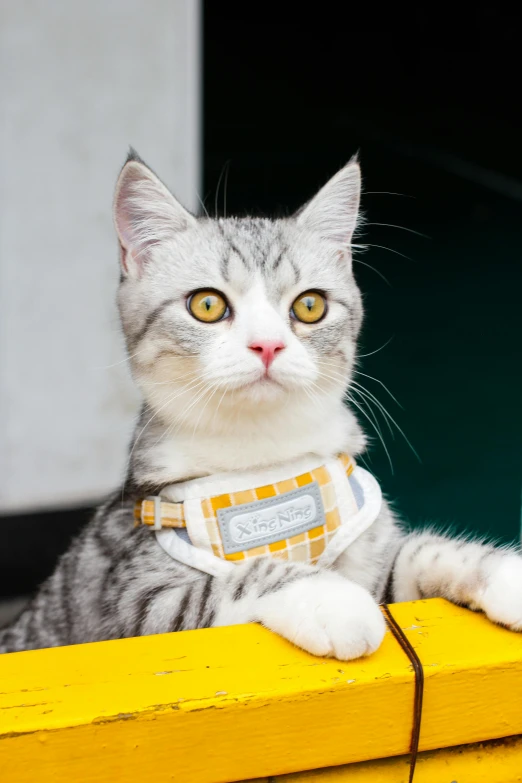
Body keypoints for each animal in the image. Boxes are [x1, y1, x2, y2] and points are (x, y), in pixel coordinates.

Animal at [2, 149, 516, 660]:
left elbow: (421, 552)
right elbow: (235, 580)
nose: (268, 345)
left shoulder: (376, 563)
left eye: (310, 305)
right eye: (207, 305)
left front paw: (503, 574)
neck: (264, 456)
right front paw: (333, 599)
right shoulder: (137, 602)